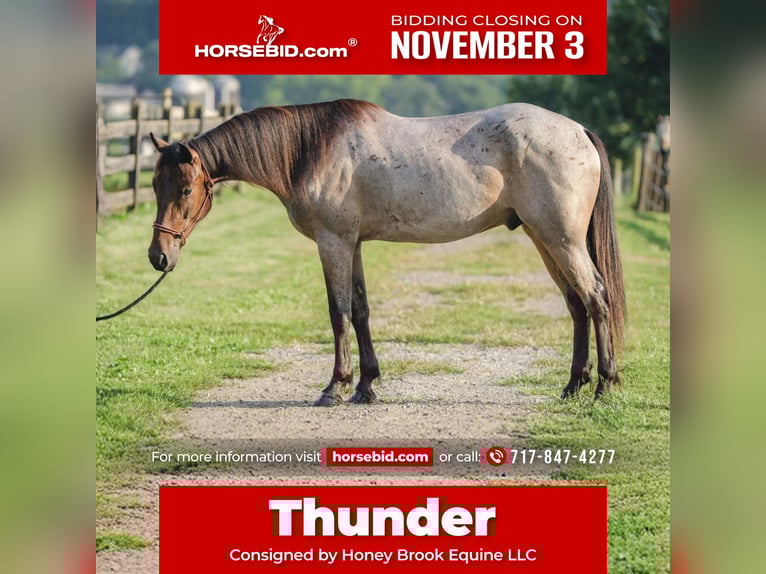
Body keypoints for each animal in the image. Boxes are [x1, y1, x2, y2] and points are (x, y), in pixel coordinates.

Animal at [147, 99, 625, 405]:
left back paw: (604, 385)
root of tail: (578, 131)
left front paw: (335, 387)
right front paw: (366, 386)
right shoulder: (353, 244)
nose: (159, 256)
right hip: (544, 239)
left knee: (596, 298)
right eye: (154, 185)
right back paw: (573, 386)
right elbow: (360, 311)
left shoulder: (334, 242)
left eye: (185, 189)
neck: (310, 149)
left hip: (561, 241)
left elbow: (338, 312)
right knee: (577, 305)